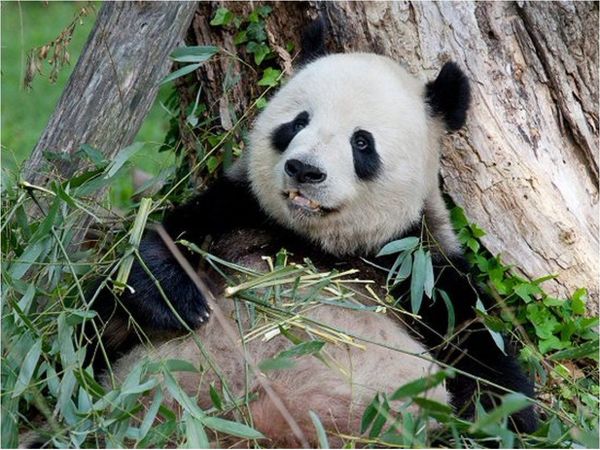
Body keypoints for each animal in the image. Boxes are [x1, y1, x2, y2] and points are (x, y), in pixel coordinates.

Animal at [91, 18, 536, 446]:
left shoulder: (419, 271)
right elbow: (143, 263)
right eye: (297, 122)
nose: (304, 169)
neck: (319, 245)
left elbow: (481, 363)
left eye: (362, 142)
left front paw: (502, 422)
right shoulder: (239, 212)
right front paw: (180, 300)